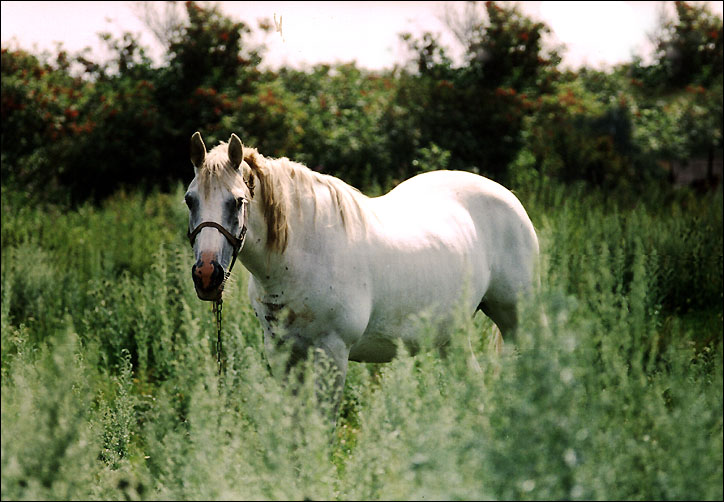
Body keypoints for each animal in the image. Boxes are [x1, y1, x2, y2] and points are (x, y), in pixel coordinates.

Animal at [185, 131, 536, 414]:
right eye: (190, 201)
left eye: (237, 201)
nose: (207, 275)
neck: (303, 253)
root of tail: (507, 196)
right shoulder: (283, 354)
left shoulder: (333, 354)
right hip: (454, 333)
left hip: (514, 318)